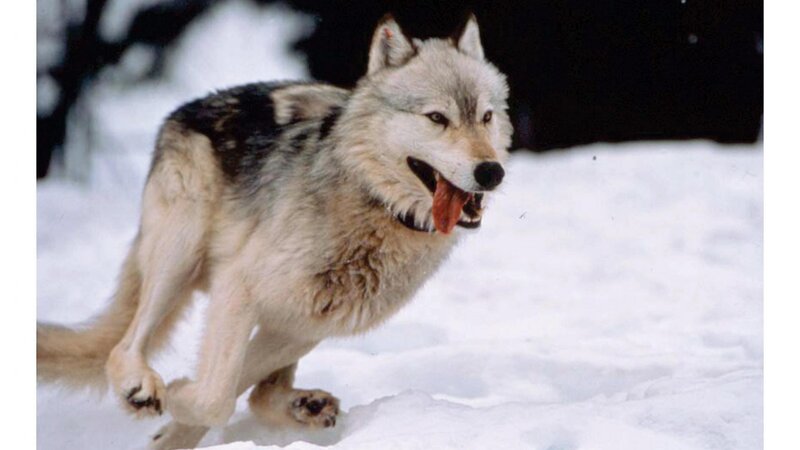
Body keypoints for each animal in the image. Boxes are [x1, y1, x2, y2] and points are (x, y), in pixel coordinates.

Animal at [37, 13, 512, 449]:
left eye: (486, 116)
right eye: (437, 117)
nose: (491, 171)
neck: (372, 204)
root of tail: (184, 110)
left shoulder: (300, 325)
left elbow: (227, 391)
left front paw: (176, 416)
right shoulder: (238, 286)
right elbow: (215, 397)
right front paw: (175, 395)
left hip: (291, 318)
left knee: (258, 391)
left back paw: (303, 407)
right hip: (180, 258)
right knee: (124, 346)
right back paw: (141, 387)